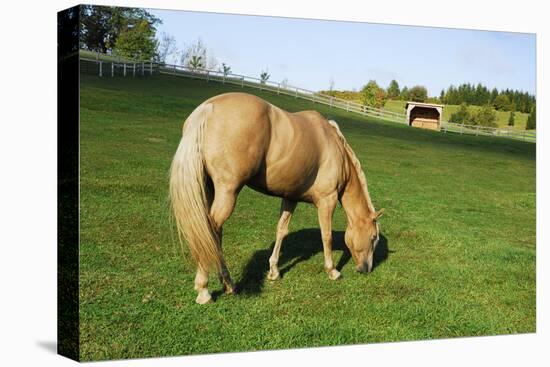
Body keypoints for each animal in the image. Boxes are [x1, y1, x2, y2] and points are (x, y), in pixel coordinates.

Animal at [171, 92, 384, 304]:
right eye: (373, 237)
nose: (366, 269)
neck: (335, 149)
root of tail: (208, 108)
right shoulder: (327, 201)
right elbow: (327, 236)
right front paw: (332, 271)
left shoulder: (290, 198)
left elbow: (281, 230)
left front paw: (274, 271)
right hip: (227, 192)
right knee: (211, 231)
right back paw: (205, 289)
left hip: (209, 189)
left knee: (211, 234)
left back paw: (227, 283)